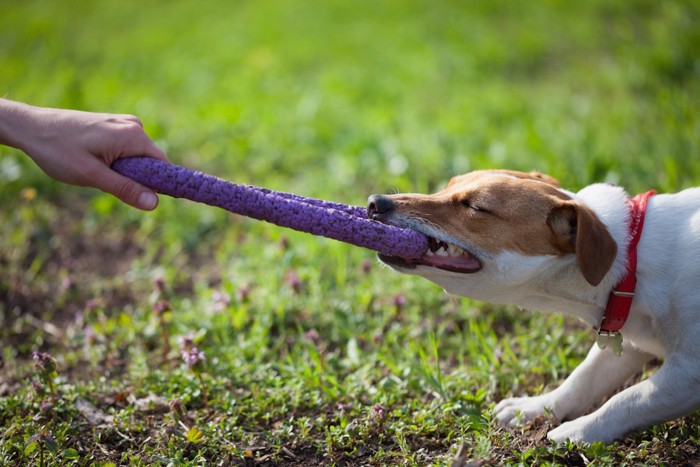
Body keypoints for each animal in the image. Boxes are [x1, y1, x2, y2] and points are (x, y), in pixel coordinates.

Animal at [366, 170, 700, 444]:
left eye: (476, 207)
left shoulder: (688, 372)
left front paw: (577, 431)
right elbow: (583, 378)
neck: (631, 261)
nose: (373, 202)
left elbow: (633, 396)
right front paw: (532, 408)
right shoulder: (628, 339)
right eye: (447, 185)